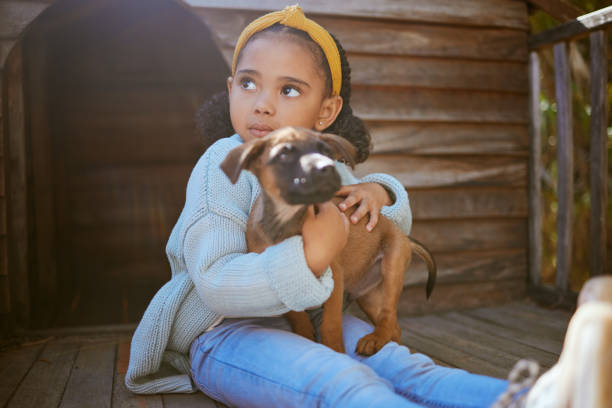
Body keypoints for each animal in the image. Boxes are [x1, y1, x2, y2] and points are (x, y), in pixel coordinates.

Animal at [221, 126, 436, 356]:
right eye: (284, 154)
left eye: (325, 151)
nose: (326, 168)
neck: (287, 220)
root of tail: (405, 237)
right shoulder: (278, 276)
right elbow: (296, 313)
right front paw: (305, 334)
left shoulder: (334, 277)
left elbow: (331, 324)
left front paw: (335, 349)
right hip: (368, 296)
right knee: (394, 327)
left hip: (391, 265)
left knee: (388, 317)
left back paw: (374, 339)